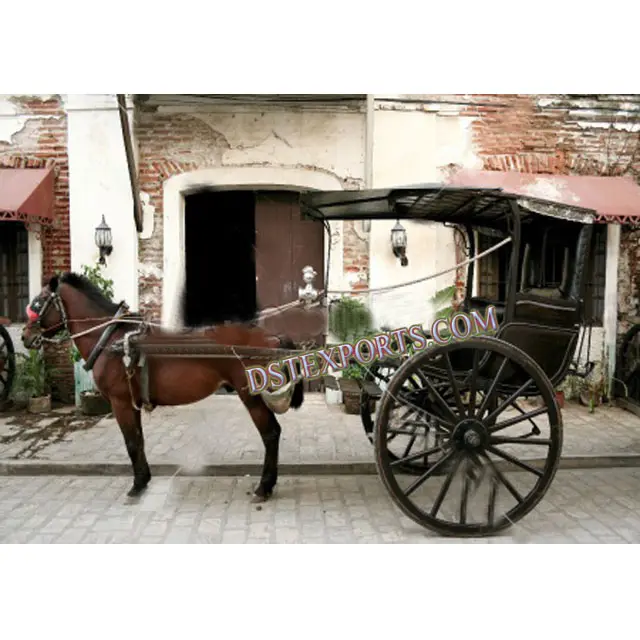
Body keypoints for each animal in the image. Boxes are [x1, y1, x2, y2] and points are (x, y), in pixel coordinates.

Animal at [21, 272, 306, 502]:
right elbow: (139, 440)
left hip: (252, 396)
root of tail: (270, 338)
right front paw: (144, 479)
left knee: (271, 434)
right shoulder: (130, 402)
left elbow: (131, 442)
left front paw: (136, 486)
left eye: (38, 303)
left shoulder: (119, 403)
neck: (111, 340)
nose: (25, 336)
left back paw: (264, 486)